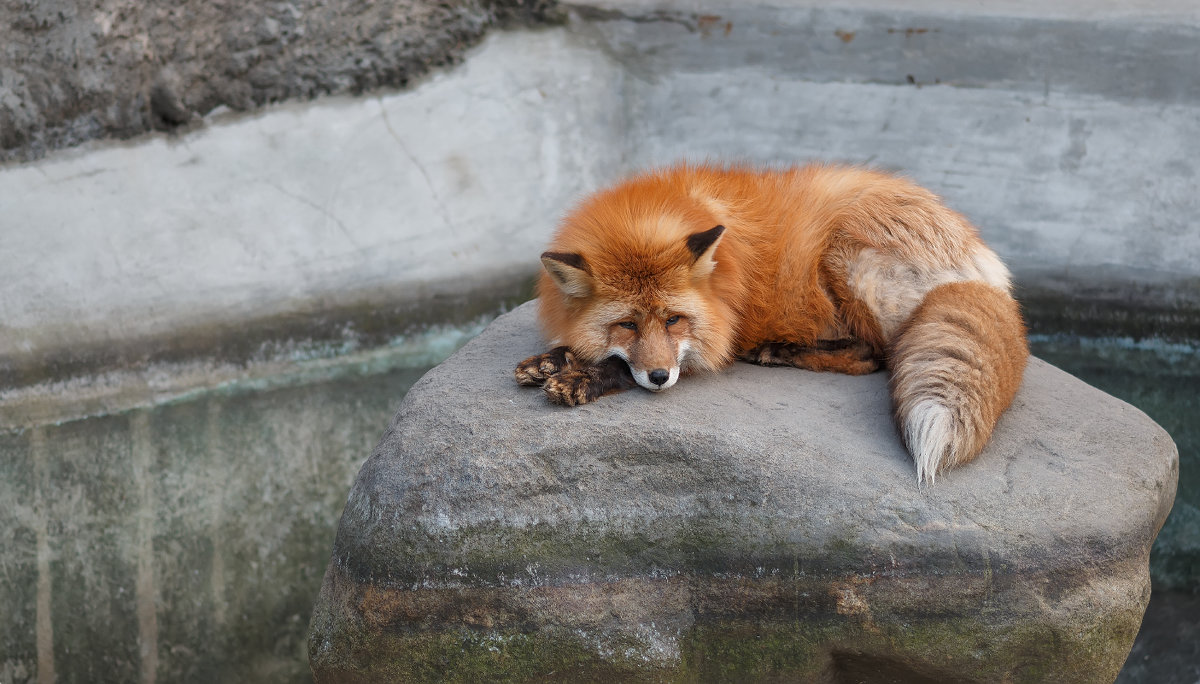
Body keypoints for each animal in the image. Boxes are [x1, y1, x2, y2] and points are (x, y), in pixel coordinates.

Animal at [511, 162, 1027, 482]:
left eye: (675, 320)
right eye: (627, 326)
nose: (658, 378)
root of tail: (983, 263)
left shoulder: (713, 338)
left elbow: (624, 366)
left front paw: (580, 377)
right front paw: (550, 360)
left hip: (843, 259)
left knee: (873, 355)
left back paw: (778, 350)